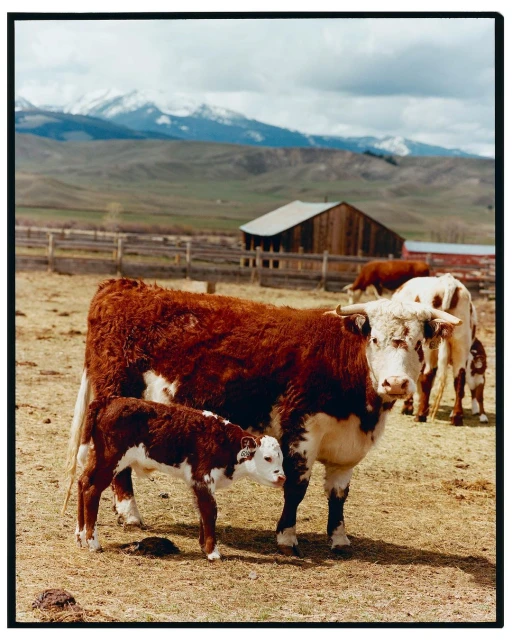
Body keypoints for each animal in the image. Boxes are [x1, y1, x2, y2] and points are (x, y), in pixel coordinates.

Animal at [75, 397, 285, 560]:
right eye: (267, 458)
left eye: (281, 459)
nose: (282, 477)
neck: (224, 442)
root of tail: (108, 401)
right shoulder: (203, 478)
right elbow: (210, 511)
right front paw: (213, 552)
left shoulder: (197, 482)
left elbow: (202, 511)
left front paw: (204, 547)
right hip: (111, 460)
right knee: (92, 490)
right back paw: (93, 543)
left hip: (98, 457)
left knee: (82, 482)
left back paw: (80, 536)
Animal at [392, 273, 472, 426]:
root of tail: (448, 282)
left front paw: (408, 406)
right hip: (461, 343)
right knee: (459, 377)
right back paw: (456, 416)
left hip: (428, 347)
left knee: (428, 374)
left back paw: (421, 414)